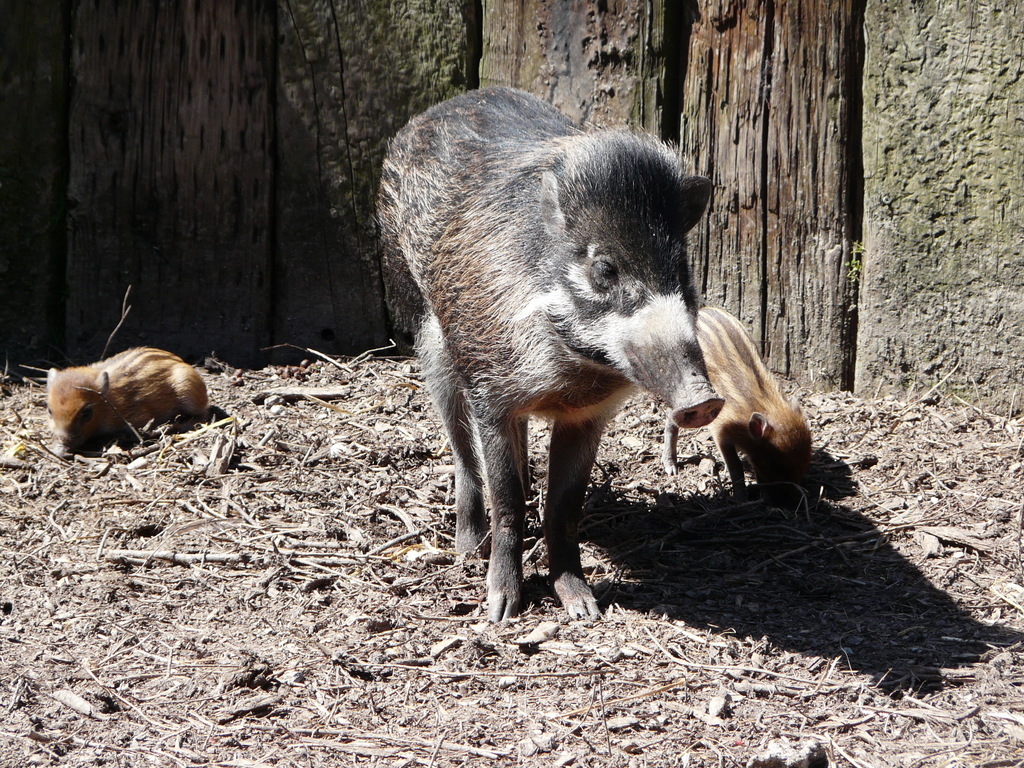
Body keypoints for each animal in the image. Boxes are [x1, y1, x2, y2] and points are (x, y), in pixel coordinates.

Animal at [380, 87, 724, 622]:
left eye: (681, 267)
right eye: (605, 268)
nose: (704, 401)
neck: (570, 374)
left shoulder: (589, 415)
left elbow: (564, 507)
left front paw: (584, 609)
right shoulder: (491, 395)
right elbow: (507, 498)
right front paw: (500, 611)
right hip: (430, 336)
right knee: (462, 453)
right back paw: (467, 549)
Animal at [663, 307, 815, 505]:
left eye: (806, 460)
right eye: (775, 464)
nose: (791, 503)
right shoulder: (721, 429)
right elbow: (735, 467)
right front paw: (741, 498)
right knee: (671, 421)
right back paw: (671, 467)